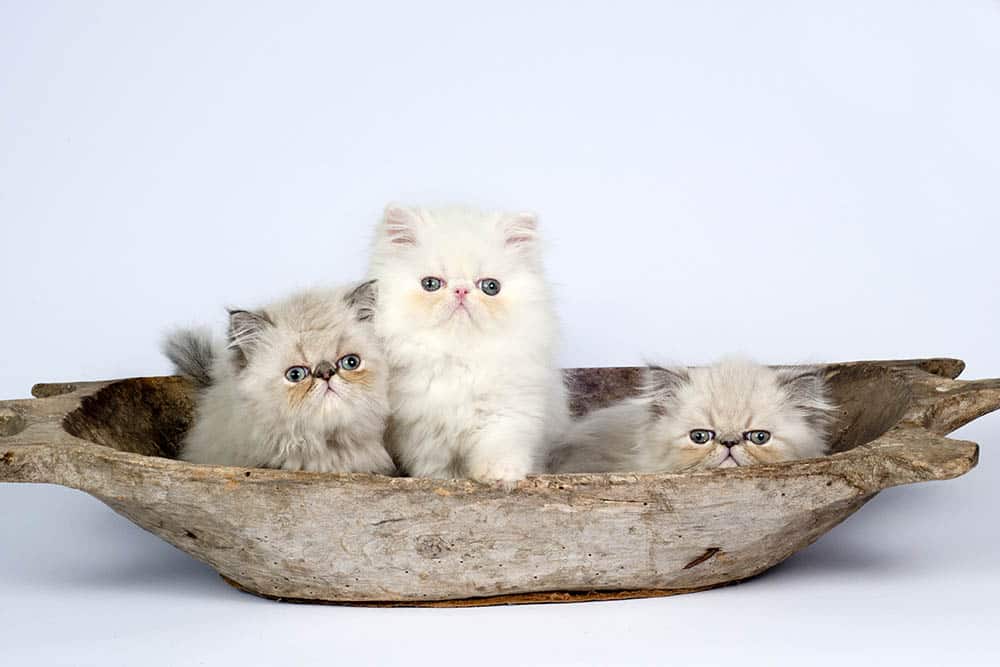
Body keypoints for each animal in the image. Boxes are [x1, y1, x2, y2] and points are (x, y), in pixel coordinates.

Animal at [368, 205, 572, 486]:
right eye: (431, 284)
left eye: (490, 287)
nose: (461, 291)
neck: (459, 358)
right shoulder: (422, 432)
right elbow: (438, 468)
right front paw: (442, 480)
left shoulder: (508, 413)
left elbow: (500, 446)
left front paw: (501, 475)